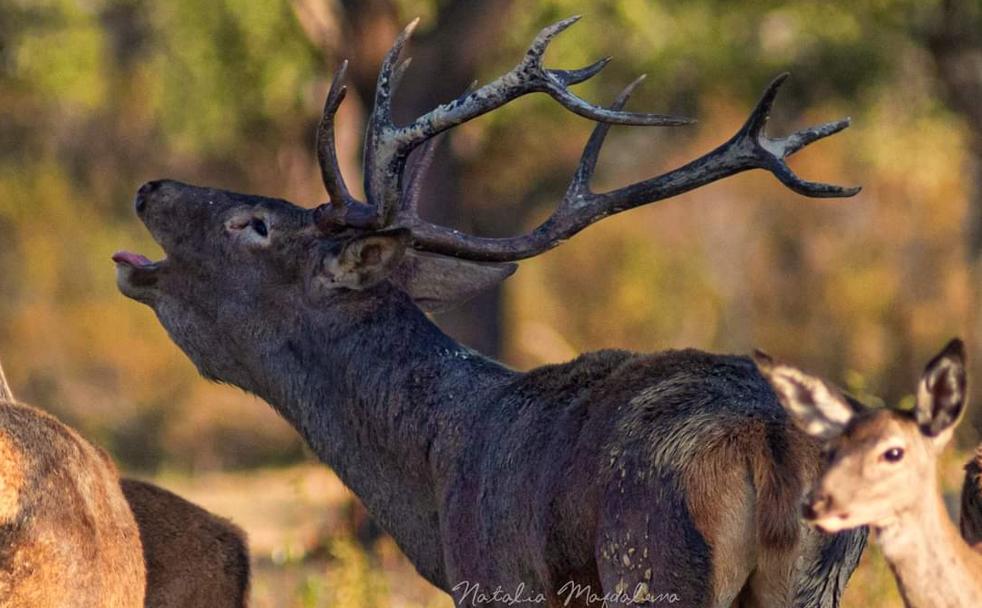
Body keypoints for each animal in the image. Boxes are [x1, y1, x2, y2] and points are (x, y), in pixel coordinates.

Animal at [113, 16, 868, 604]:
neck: (438, 475)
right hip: (815, 583)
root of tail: (768, 439)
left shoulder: (497, 578)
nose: (149, 188)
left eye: (255, 224)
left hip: (649, 558)